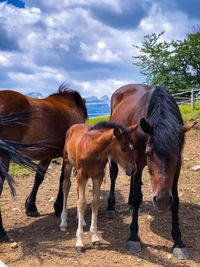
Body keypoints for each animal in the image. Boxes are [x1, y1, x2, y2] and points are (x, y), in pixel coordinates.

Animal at [0, 84, 87, 243]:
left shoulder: (46, 155)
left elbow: (38, 178)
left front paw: (30, 206)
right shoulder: (63, 156)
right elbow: (62, 180)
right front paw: (58, 207)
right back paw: (1, 232)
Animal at [59, 121, 138, 253]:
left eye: (133, 148)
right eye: (123, 148)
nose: (133, 170)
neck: (93, 150)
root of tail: (74, 126)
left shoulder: (98, 176)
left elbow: (95, 202)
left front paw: (95, 238)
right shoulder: (82, 175)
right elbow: (82, 203)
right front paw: (79, 242)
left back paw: (82, 221)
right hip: (67, 163)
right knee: (66, 186)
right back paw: (63, 222)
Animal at [105, 84, 196, 260]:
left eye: (176, 155)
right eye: (148, 153)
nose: (162, 200)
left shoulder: (177, 168)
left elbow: (176, 202)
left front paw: (178, 242)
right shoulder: (139, 161)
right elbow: (136, 197)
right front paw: (134, 237)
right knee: (114, 175)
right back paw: (111, 207)